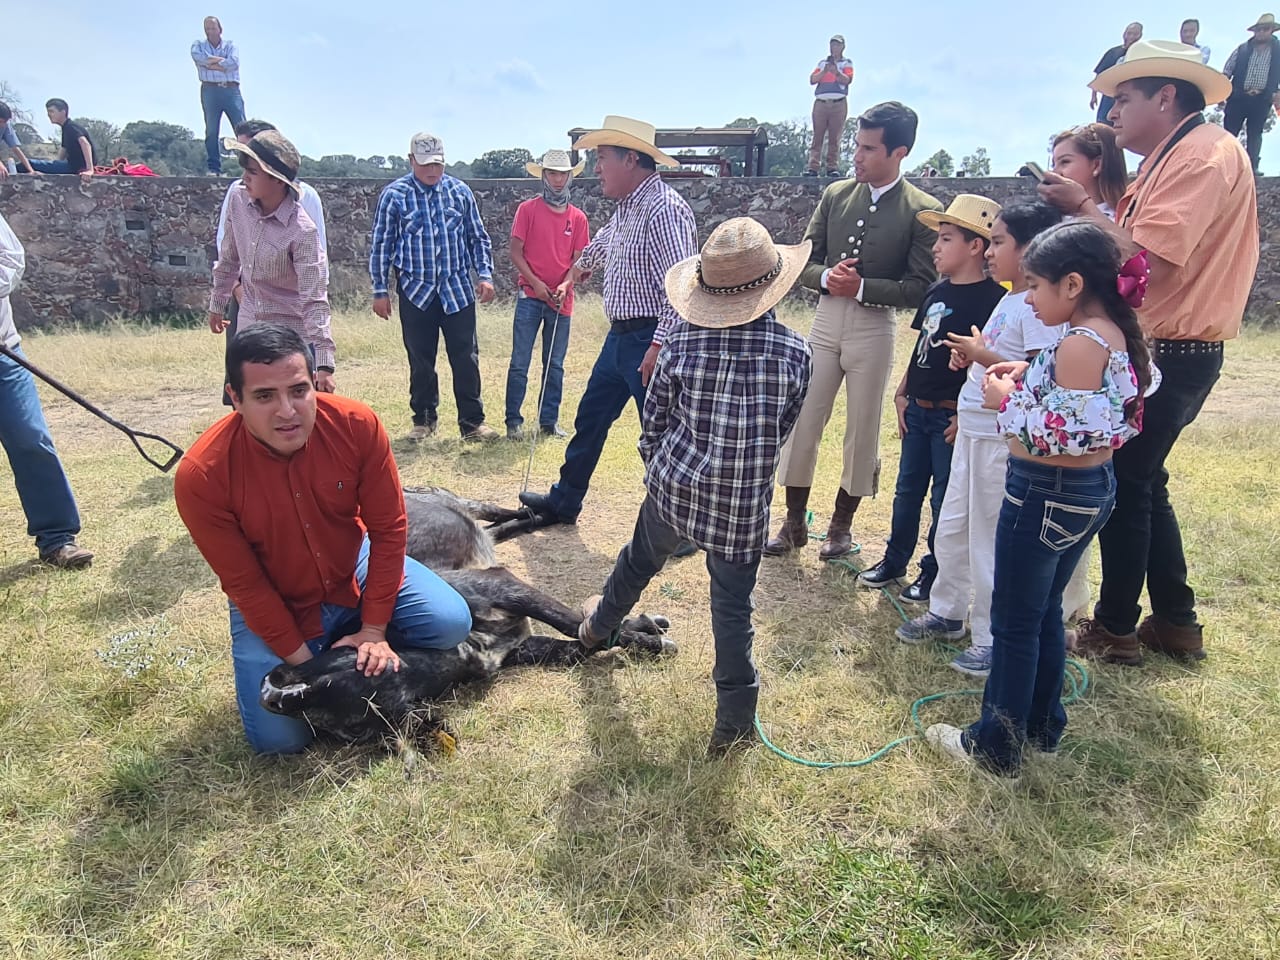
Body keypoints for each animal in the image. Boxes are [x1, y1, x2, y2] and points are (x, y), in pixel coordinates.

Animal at [259, 488, 680, 742]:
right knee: (501, 527)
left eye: (331, 670)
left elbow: (576, 624)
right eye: (352, 728)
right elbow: (582, 642)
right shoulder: (523, 647)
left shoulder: (503, 585)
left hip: (456, 499)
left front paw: (644, 633)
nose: (270, 693)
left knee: (502, 512)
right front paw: (645, 634)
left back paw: (546, 510)